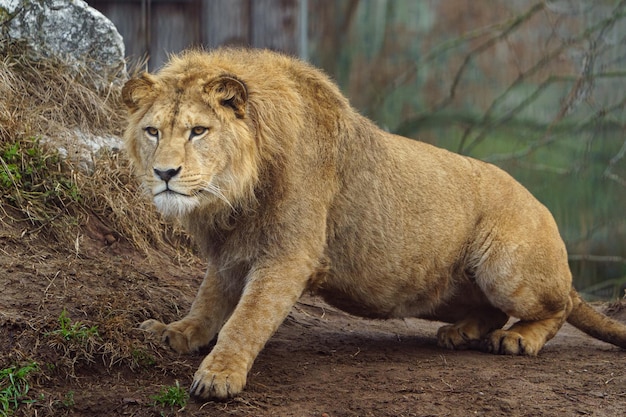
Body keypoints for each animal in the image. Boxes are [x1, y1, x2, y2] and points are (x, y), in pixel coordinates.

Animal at [120, 48, 624, 400]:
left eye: (198, 131)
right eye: (153, 131)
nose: (165, 174)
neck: (231, 200)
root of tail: (544, 210)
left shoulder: (289, 254)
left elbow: (245, 319)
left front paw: (219, 373)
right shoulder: (229, 253)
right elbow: (207, 302)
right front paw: (177, 333)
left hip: (506, 268)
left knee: (557, 306)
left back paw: (517, 340)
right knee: (494, 309)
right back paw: (462, 333)